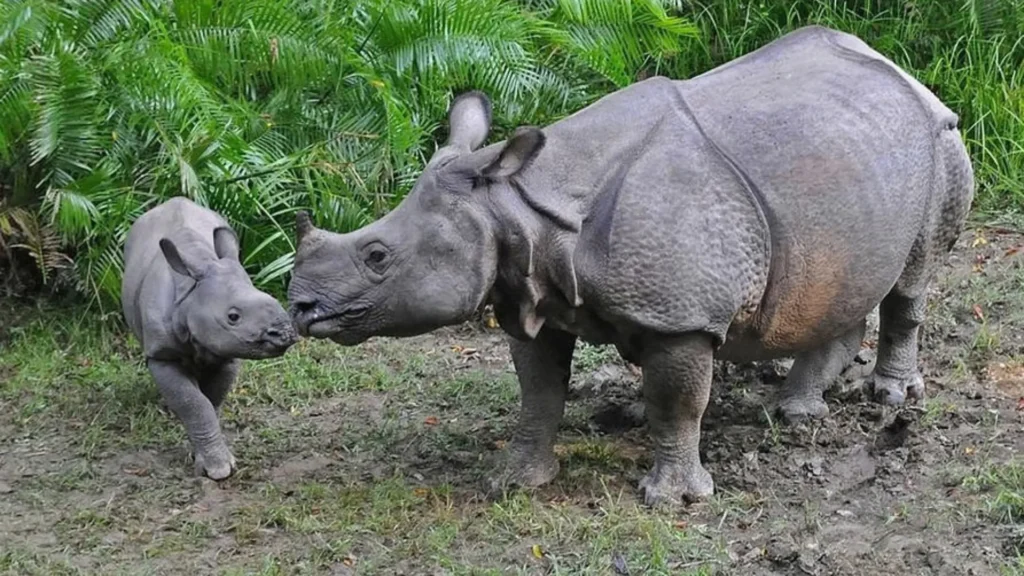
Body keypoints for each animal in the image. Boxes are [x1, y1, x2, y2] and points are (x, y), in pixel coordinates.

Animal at [122, 197, 299, 479]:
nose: (284, 334)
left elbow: (210, 401)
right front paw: (217, 470)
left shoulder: (228, 351)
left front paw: (209, 457)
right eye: (233, 316)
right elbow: (193, 403)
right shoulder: (161, 355)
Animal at [287, 25, 973, 505]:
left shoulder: (680, 317)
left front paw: (671, 500)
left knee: (911, 280)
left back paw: (887, 399)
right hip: (849, 169)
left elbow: (678, 402)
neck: (514, 206)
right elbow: (539, 392)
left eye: (378, 256)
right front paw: (514, 482)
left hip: (942, 139)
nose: (299, 306)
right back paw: (797, 414)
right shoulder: (531, 296)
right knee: (840, 279)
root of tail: (902, 72)